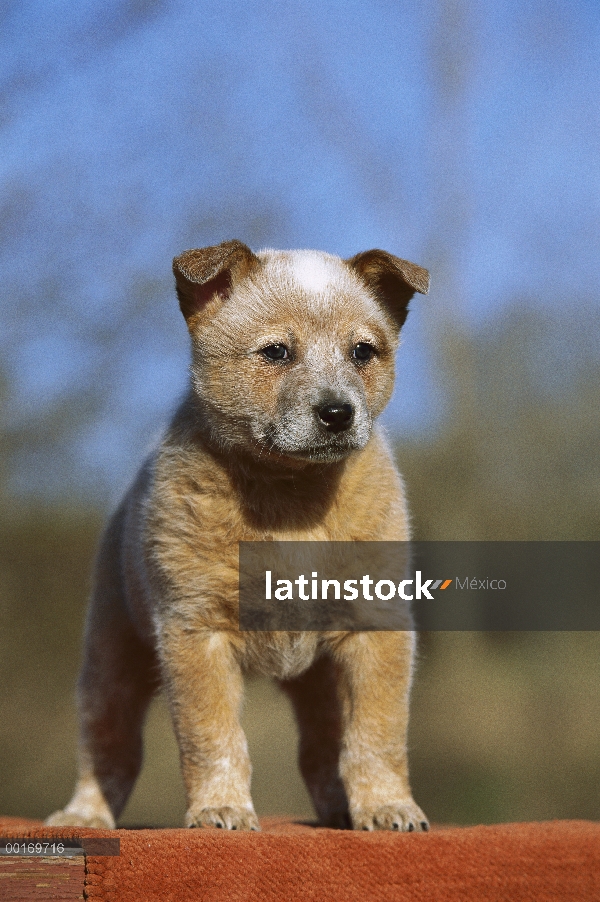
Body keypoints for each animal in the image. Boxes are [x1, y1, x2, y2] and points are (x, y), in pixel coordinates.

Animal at [47, 238, 432, 832]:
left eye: (363, 352)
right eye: (275, 352)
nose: (338, 412)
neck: (290, 500)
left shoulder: (377, 627)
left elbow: (377, 734)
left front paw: (388, 805)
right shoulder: (196, 630)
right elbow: (213, 737)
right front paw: (220, 808)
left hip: (316, 681)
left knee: (321, 749)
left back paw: (338, 811)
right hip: (112, 660)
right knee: (108, 747)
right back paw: (85, 815)